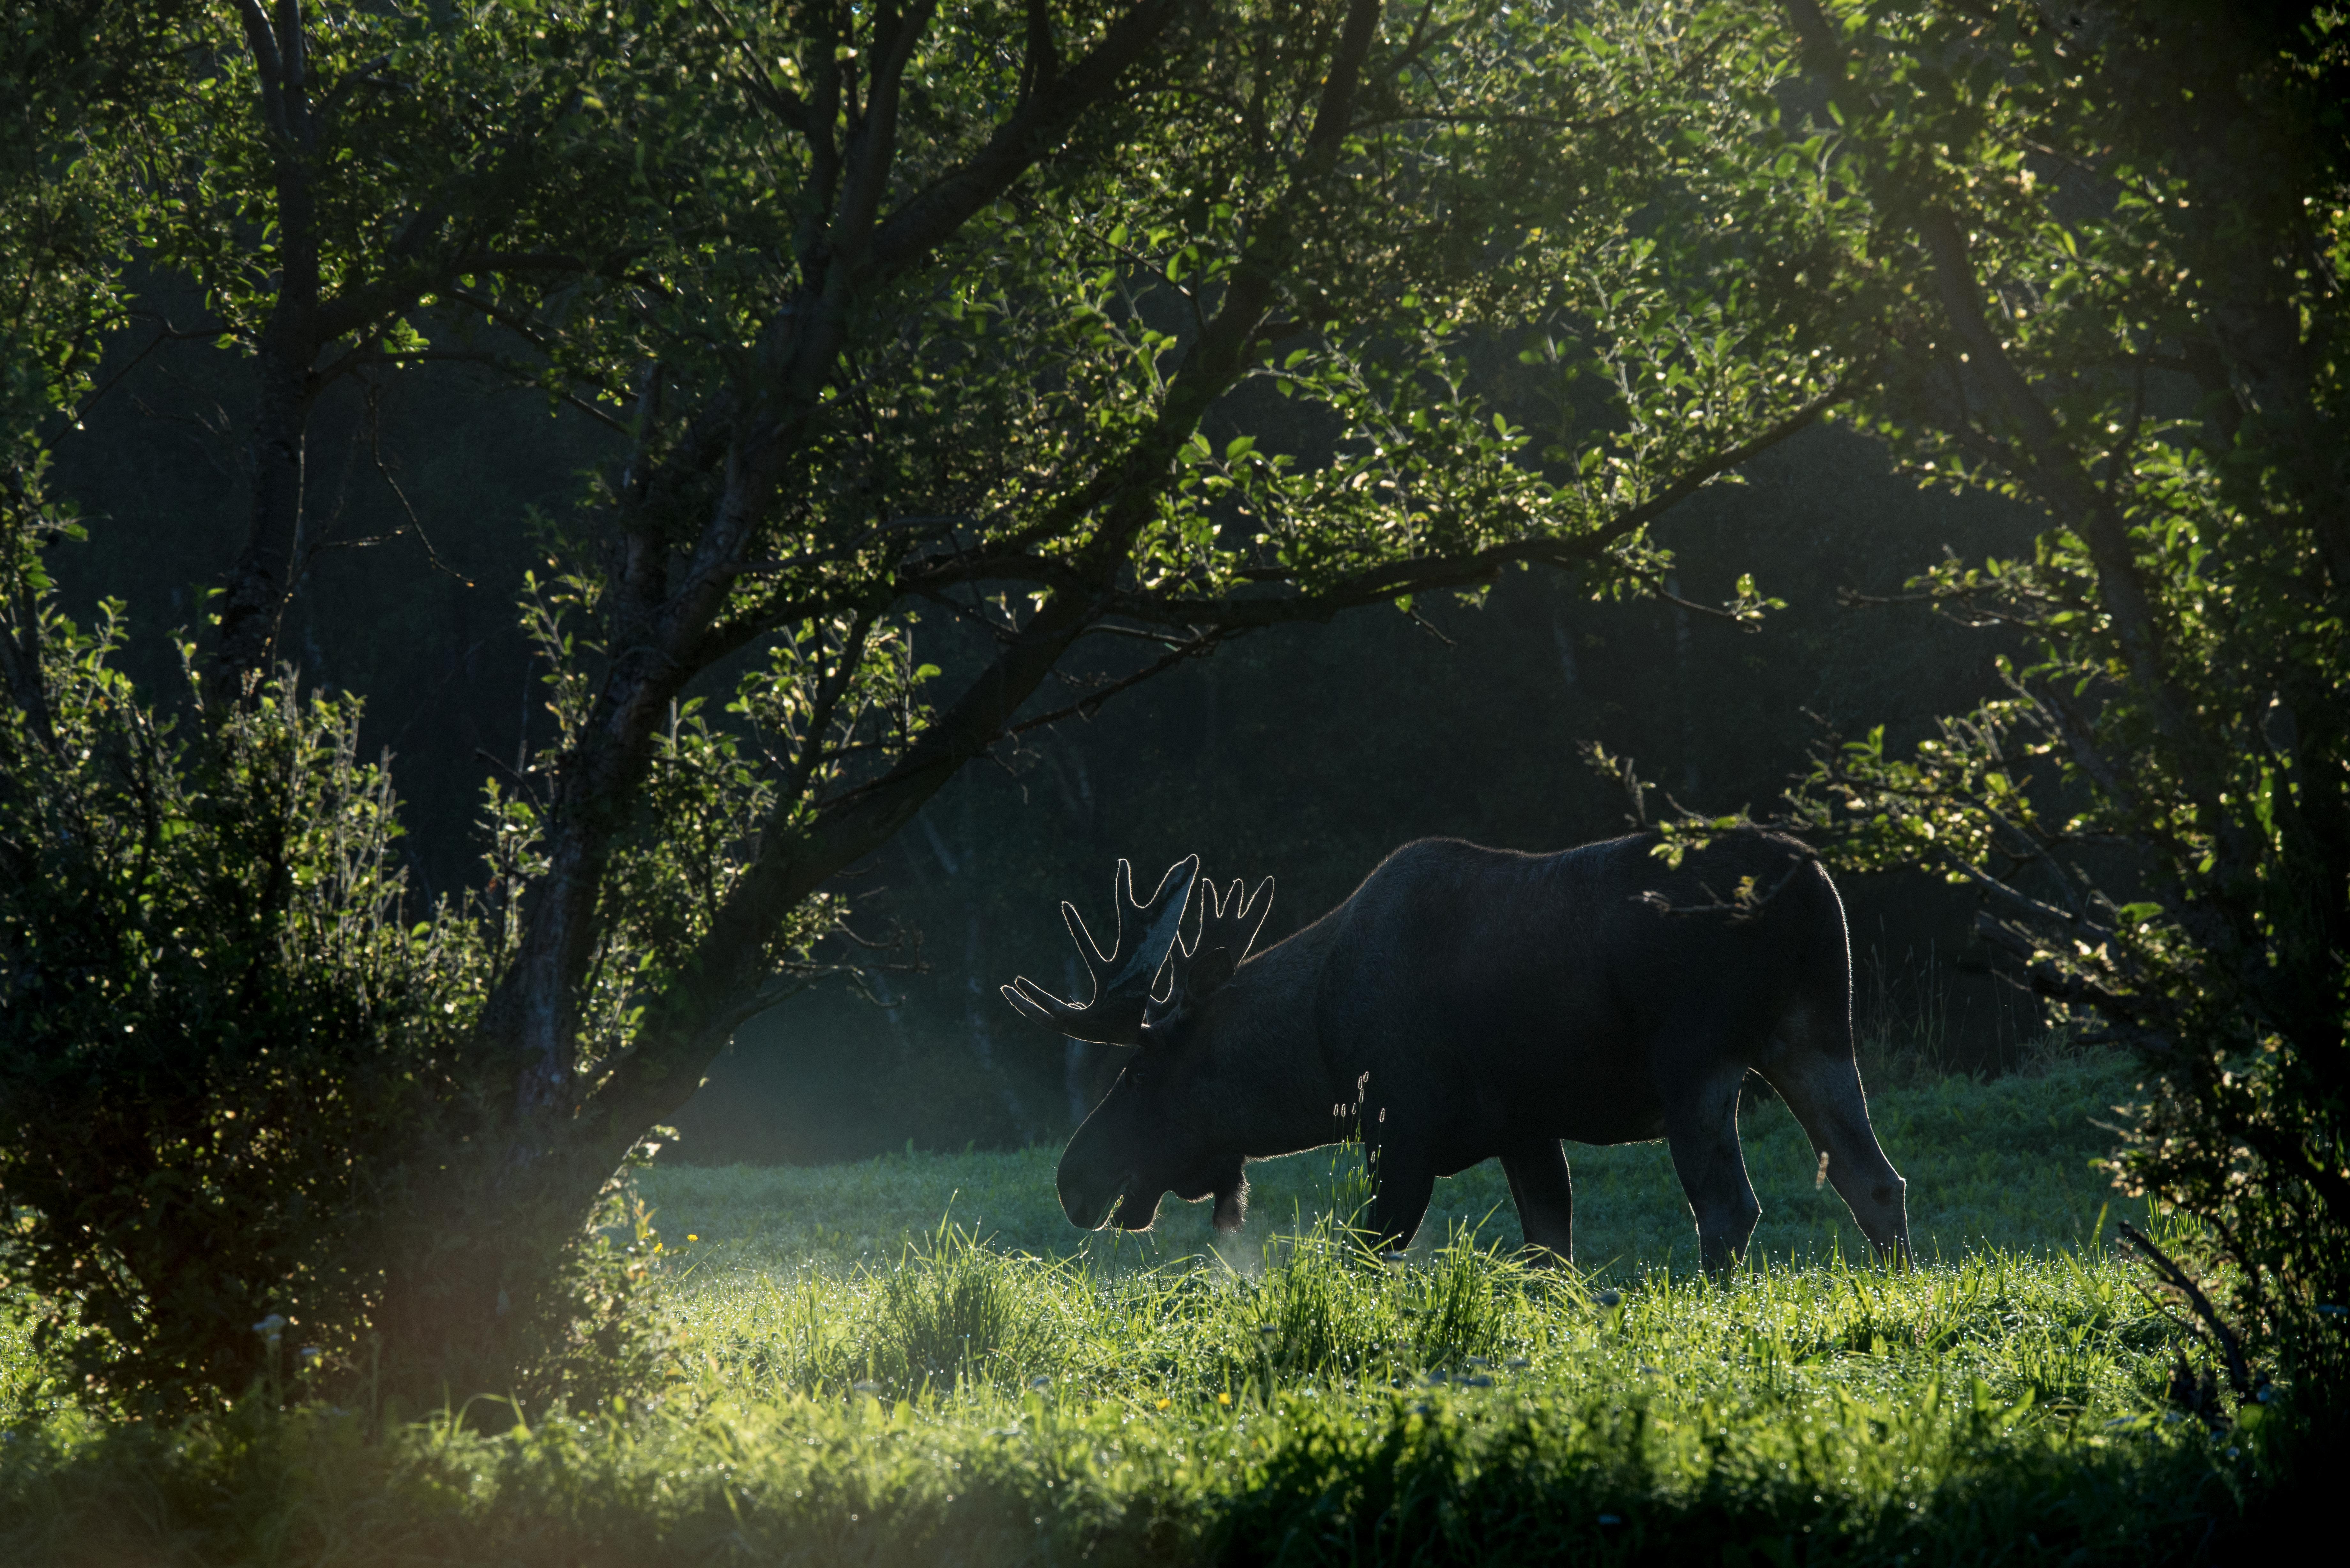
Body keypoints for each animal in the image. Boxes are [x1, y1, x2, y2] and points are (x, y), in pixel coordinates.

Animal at [1000, 833, 1910, 1271]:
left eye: (1138, 1071)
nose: (1071, 1178)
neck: (1316, 1049)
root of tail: (1808, 883)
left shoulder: (1399, 1131)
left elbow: (1366, 1253)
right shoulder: (1524, 1128)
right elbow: (1549, 1250)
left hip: (1697, 1056)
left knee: (1728, 1204)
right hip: (1814, 1034)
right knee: (1873, 1179)